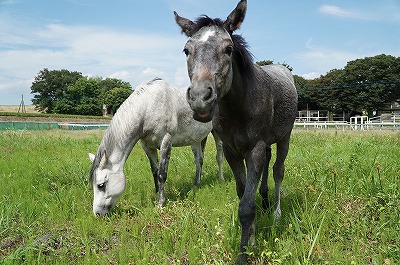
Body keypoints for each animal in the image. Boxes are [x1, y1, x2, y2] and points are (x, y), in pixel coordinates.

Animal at [88, 77, 223, 216]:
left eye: (101, 185)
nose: (97, 213)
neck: (148, 106)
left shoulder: (166, 142)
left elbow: (162, 174)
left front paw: (160, 204)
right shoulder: (147, 146)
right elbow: (155, 172)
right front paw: (159, 194)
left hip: (217, 131)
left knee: (219, 155)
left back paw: (221, 179)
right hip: (197, 139)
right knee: (199, 160)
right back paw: (196, 184)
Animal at [174, 0, 296, 262]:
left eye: (229, 49)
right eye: (187, 50)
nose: (200, 98)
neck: (240, 106)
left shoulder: (255, 148)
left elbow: (246, 206)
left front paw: (243, 253)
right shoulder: (232, 151)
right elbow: (243, 193)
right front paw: (251, 238)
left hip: (285, 136)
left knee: (278, 170)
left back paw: (276, 212)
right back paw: (265, 201)